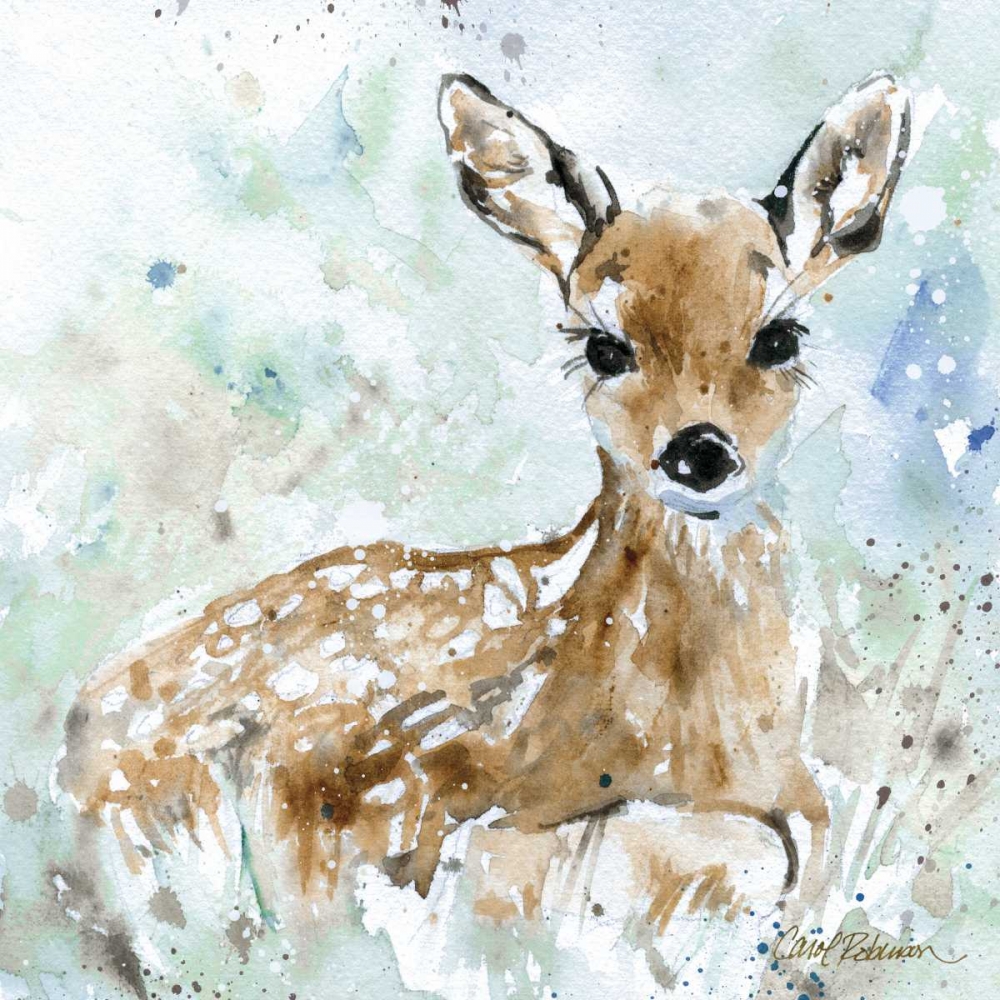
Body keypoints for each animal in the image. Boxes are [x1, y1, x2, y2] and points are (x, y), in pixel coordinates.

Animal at [52, 71, 915, 996]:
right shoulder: (402, 807)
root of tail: (77, 726)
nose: (700, 451)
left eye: (779, 336)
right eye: (604, 348)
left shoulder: (800, 813)